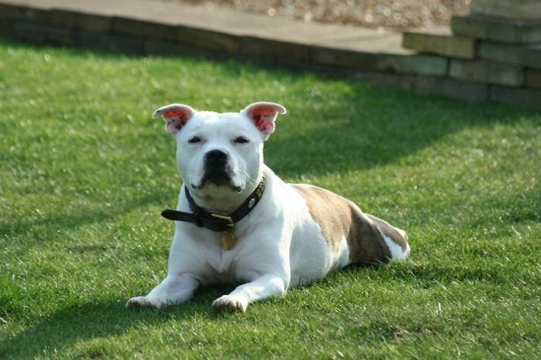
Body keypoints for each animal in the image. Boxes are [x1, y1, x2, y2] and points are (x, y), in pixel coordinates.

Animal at [124, 101, 408, 312]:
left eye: (241, 140)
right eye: (195, 140)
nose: (216, 155)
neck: (223, 216)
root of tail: (347, 204)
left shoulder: (270, 275)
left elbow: (244, 286)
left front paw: (231, 299)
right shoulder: (182, 276)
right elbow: (163, 288)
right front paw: (147, 299)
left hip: (387, 248)